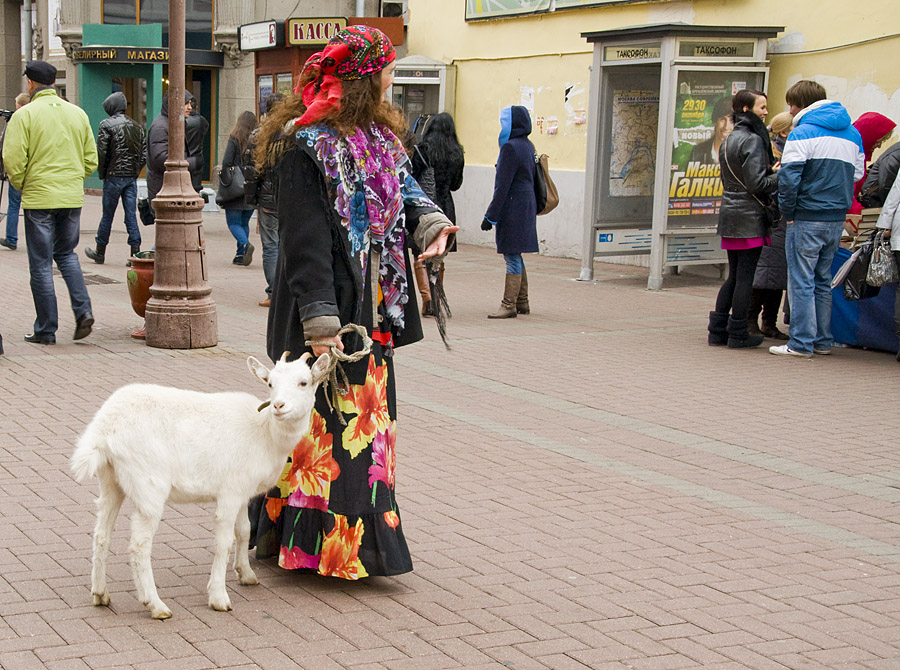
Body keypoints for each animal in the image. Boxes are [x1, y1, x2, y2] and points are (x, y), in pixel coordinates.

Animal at [70, 354, 328, 624]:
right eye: (270, 383)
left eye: (303, 382)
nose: (278, 406)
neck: (265, 432)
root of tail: (104, 429)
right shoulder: (230, 492)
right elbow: (223, 542)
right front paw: (218, 598)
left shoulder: (242, 491)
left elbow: (244, 531)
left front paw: (246, 574)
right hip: (148, 484)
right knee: (140, 545)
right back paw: (155, 605)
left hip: (111, 480)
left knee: (101, 535)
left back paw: (100, 594)